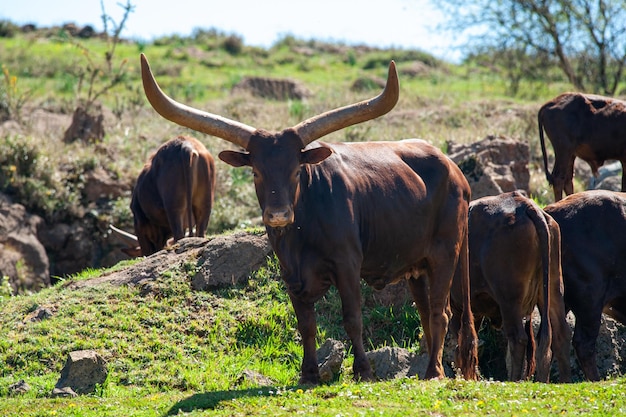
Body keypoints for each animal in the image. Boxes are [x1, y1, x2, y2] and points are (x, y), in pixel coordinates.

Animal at [138, 53, 478, 382]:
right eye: (256, 171)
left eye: (296, 170)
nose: (278, 214)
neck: (302, 231)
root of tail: (456, 171)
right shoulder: (291, 274)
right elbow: (306, 325)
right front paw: (309, 373)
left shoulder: (347, 264)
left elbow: (352, 318)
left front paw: (363, 371)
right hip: (416, 265)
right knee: (426, 312)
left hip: (445, 252)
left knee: (440, 313)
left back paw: (433, 372)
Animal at [448, 191, 572, 380]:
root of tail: (525, 206)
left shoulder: (457, 308)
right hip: (552, 292)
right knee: (560, 336)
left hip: (509, 300)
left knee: (518, 338)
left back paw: (514, 379)